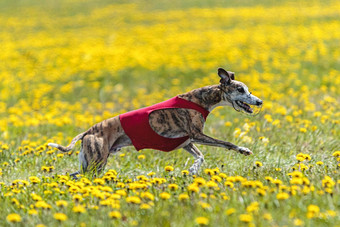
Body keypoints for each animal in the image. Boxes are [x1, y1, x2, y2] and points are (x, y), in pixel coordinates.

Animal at [47, 68, 262, 178]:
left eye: (248, 90)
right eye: (241, 89)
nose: (259, 102)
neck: (200, 99)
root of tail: (88, 132)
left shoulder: (186, 141)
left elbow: (200, 157)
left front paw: (193, 170)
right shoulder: (196, 134)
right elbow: (226, 143)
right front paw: (244, 149)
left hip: (91, 162)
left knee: (74, 175)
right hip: (97, 162)